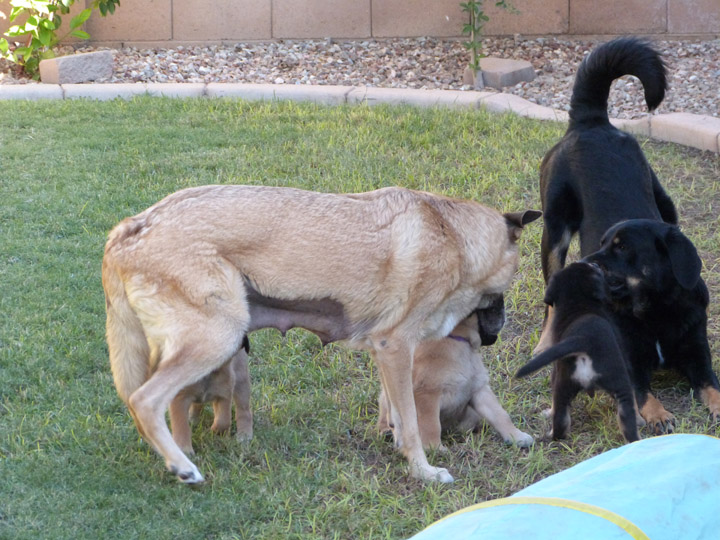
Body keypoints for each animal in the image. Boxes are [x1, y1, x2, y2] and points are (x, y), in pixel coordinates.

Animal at [376, 294, 536, 450]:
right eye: (490, 308)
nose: (503, 309)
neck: (459, 340)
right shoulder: (427, 395)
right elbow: (431, 425)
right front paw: (434, 448)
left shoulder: (479, 389)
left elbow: (500, 415)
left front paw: (516, 436)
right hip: (389, 394)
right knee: (386, 414)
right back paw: (387, 431)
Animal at [516, 262, 640, 442]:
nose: (595, 263)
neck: (578, 303)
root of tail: (584, 340)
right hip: (621, 388)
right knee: (628, 424)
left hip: (562, 385)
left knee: (560, 421)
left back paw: (550, 435)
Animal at [584, 219, 720, 430]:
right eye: (602, 244)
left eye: (623, 247)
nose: (582, 263)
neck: (658, 310)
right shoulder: (632, 363)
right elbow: (643, 394)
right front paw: (659, 415)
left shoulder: (698, 356)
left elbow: (712, 387)